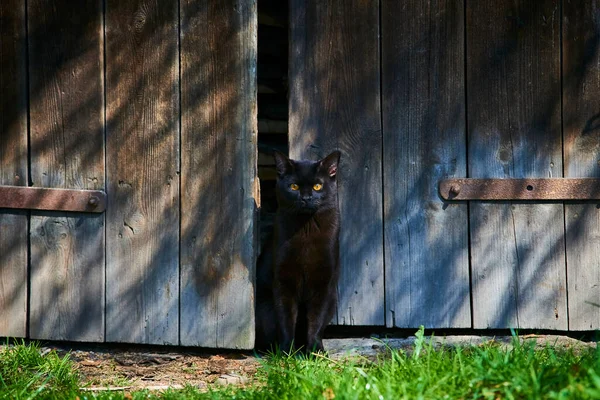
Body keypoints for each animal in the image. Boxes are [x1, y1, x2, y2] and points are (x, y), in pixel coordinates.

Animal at [254, 150, 342, 354]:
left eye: (318, 185)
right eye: (293, 186)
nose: (306, 198)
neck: (306, 228)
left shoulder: (323, 283)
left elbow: (316, 320)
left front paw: (316, 351)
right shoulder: (283, 280)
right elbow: (286, 319)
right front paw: (287, 352)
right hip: (264, 309)